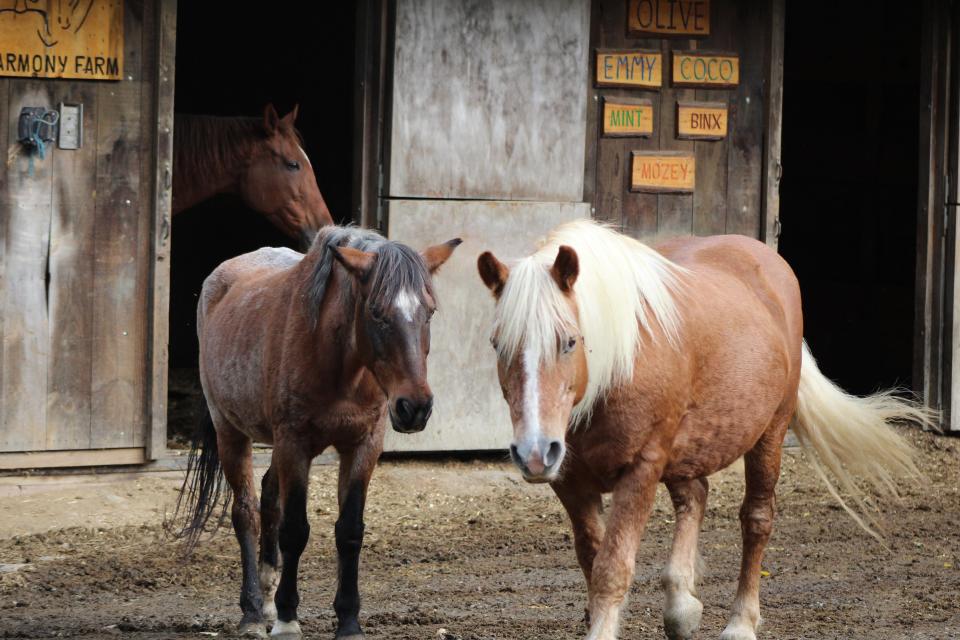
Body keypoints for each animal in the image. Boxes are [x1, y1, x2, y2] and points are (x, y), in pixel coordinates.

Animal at [176, 222, 462, 636]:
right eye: (376, 311)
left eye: (430, 311)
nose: (415, 408)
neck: (340, 364)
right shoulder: (295, 444)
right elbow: (295, 529)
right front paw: (287, 620)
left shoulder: (363, 445)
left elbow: (350, 530)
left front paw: (349, 621)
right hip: (230, 430)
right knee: (245, 512)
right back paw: (252, 613)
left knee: (268, 498)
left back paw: (265, 601)